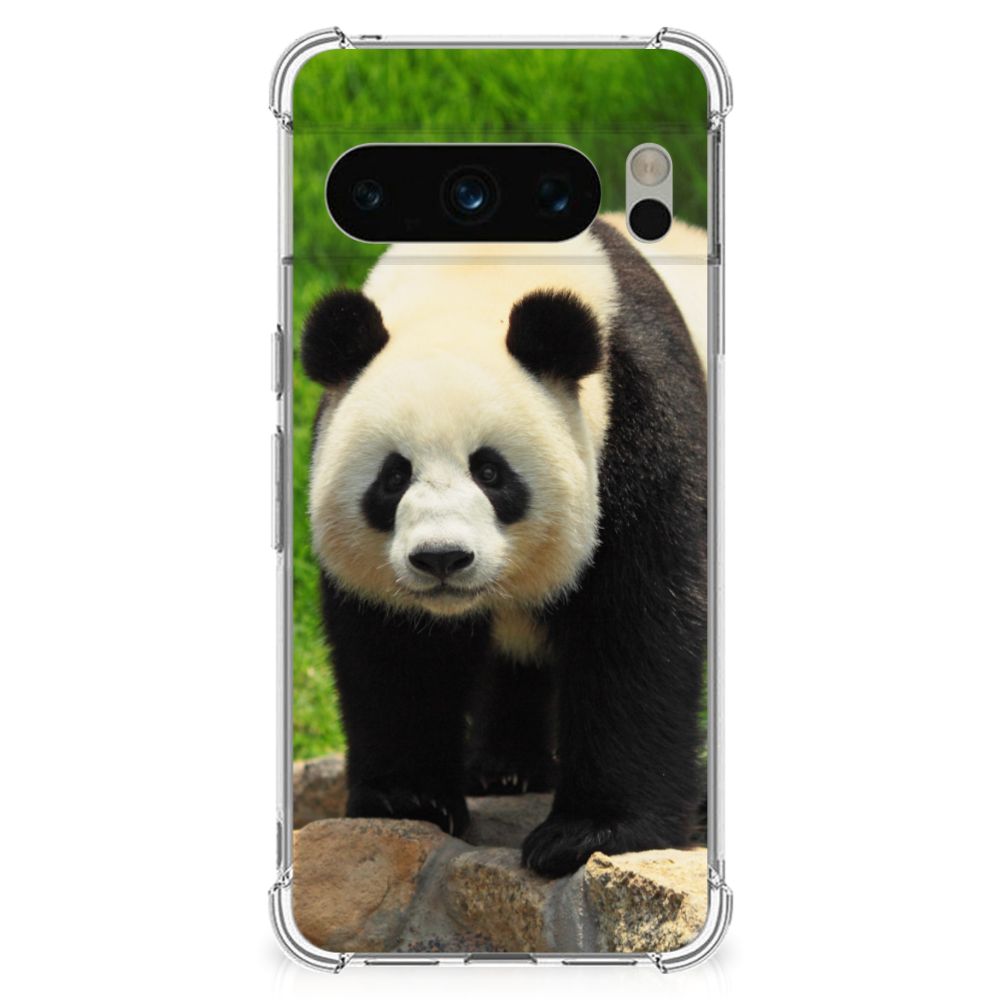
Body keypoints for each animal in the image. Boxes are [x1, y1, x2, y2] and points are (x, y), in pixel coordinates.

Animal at [302, 215, 708, 877]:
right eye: (394, 476)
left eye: (491, 472)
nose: (441, 558)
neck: (475, 272)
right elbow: (396, 648)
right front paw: (408, 799)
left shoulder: (640, 418)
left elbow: (637, 623)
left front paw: (589, 833)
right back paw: (504, 768)